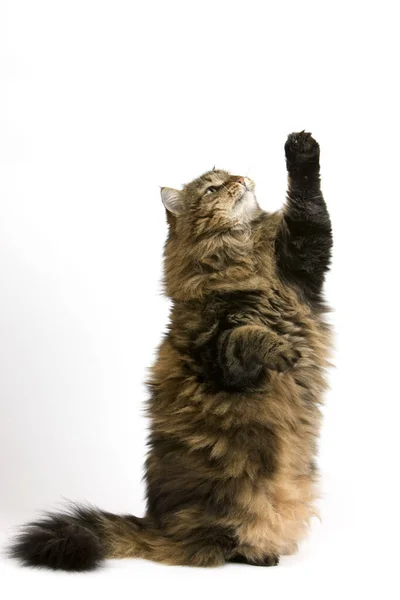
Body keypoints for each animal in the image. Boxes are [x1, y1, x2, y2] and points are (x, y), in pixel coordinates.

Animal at [10, 131, 334, 572]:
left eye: (231, 174)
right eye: (213, 188)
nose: (240, 179)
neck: (244, 253)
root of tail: (157, 526)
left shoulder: (303, 257)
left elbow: (309, 204)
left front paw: (302, 151)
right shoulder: (219, 352)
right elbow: (247, 335)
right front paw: (282, 350)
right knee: (220, 545)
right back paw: (258, 553)